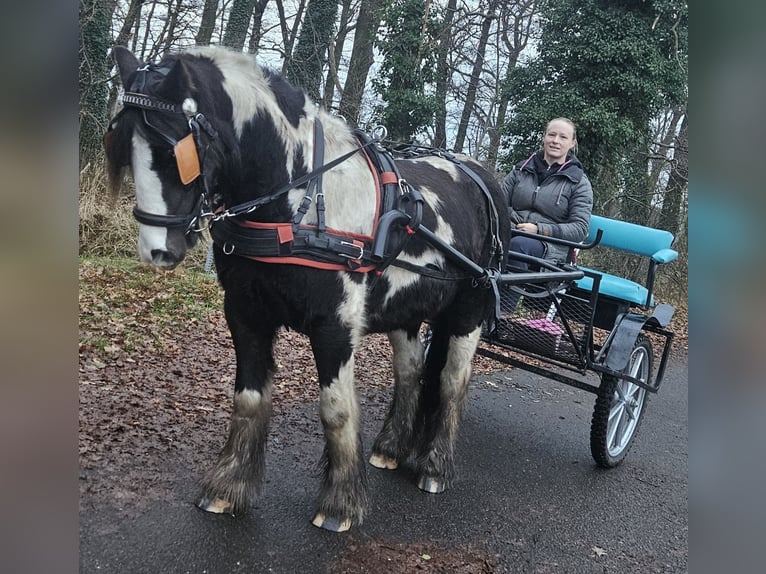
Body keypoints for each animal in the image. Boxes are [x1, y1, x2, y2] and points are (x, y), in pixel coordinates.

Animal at [104, 45, 511, 532]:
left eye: (173, 152)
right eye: (122, 148)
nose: (156, 250)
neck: (299, 199)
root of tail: (480, 175)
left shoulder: (335, 325)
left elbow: (335, 407)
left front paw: (341, 504)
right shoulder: (245, 313)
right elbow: (249, 399)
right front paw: (228, 487)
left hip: (469, 308)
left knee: (451, 379)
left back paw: (434, 466)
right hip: (406, 311)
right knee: (411, 372)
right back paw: (391, 448)